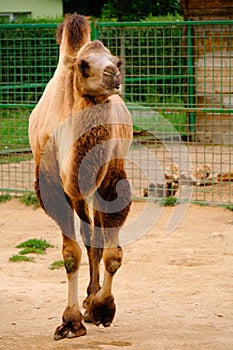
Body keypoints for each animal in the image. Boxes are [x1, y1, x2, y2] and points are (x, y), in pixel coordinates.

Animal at [28, 13, 132, 340]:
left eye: (117, 60)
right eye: (84, 65)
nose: (113, 75)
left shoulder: (112, 178)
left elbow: (112, 252)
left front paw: (101, 308)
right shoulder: (52, 183)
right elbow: (71, 253)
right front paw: (71, 321)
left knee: (94, 236)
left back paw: (91, 299)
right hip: (75, 192)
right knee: (87, 237)